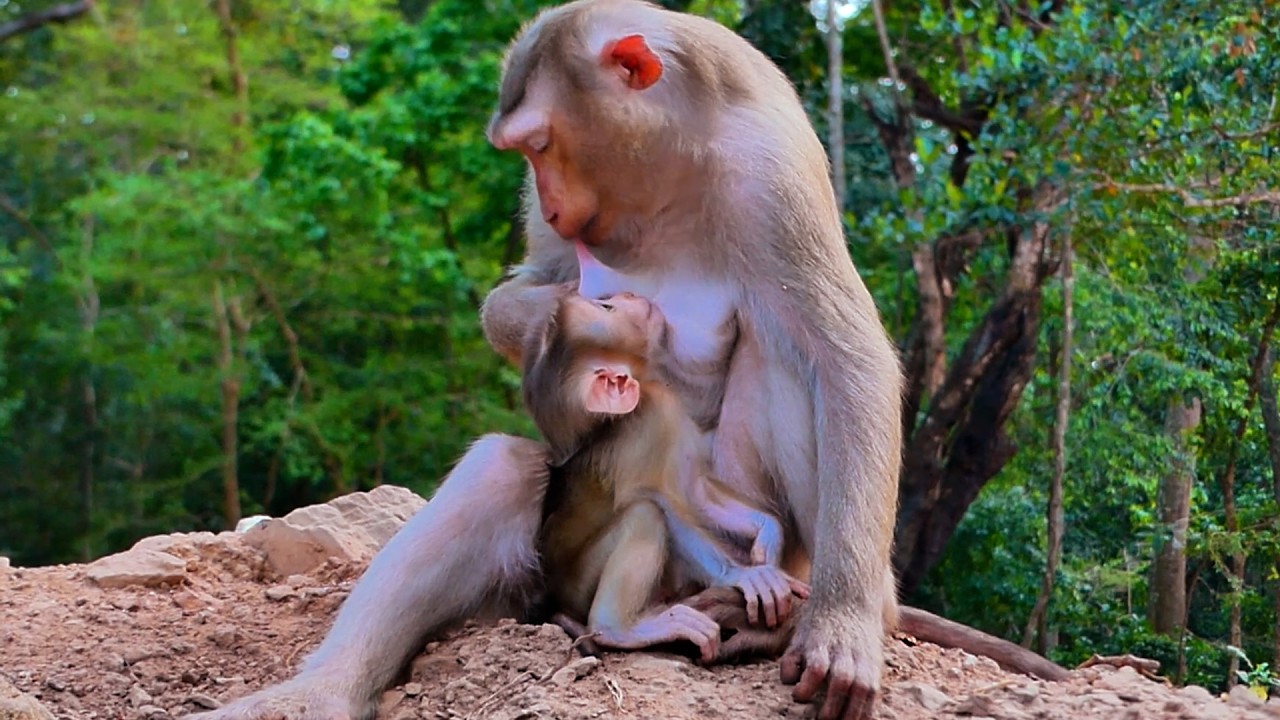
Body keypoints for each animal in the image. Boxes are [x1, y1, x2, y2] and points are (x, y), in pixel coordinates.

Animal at [188, 3, 902, 720]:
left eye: (538, 143)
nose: (554, 204)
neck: (668, 162)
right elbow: (530, 284)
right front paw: (547, 320)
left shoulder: (771, 172)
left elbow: (845, 355)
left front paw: (842, 625)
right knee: (504, 468)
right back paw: (322, 691)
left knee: (784, 358)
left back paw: (787, 621)